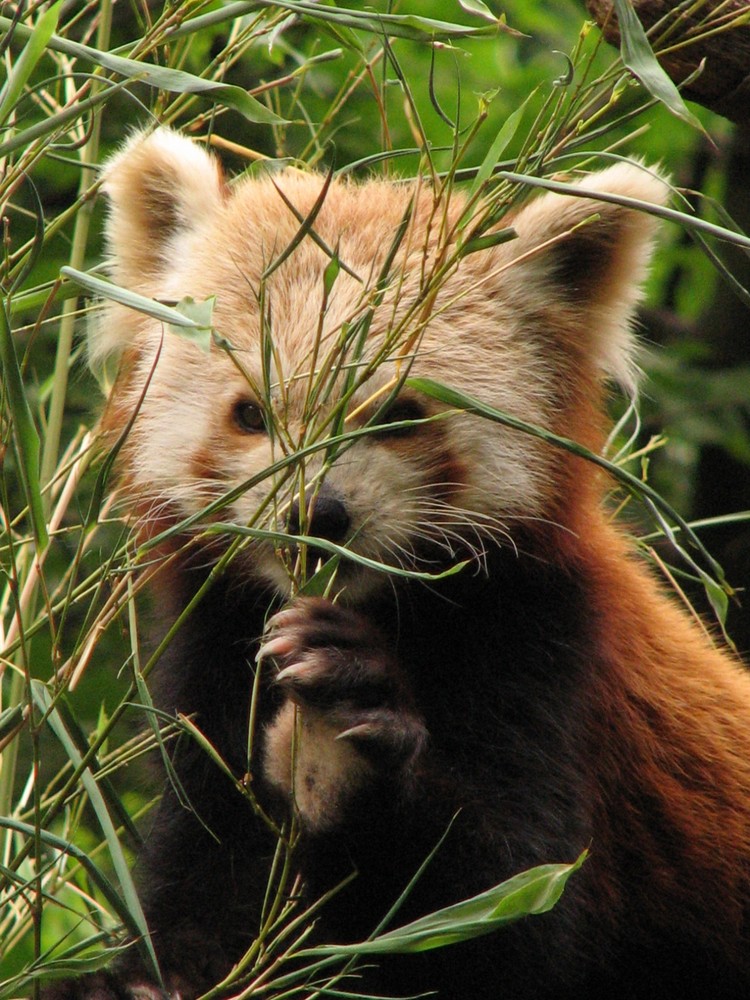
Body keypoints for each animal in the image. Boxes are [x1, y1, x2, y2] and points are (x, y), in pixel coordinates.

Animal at [45, 131, 750, 1000]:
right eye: (251, 413)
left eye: (396, 416)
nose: (315, 515)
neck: (382, 611)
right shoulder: (211, 668)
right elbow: (207, 901)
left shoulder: (546, 653)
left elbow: (507, 916)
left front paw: (345, 732)